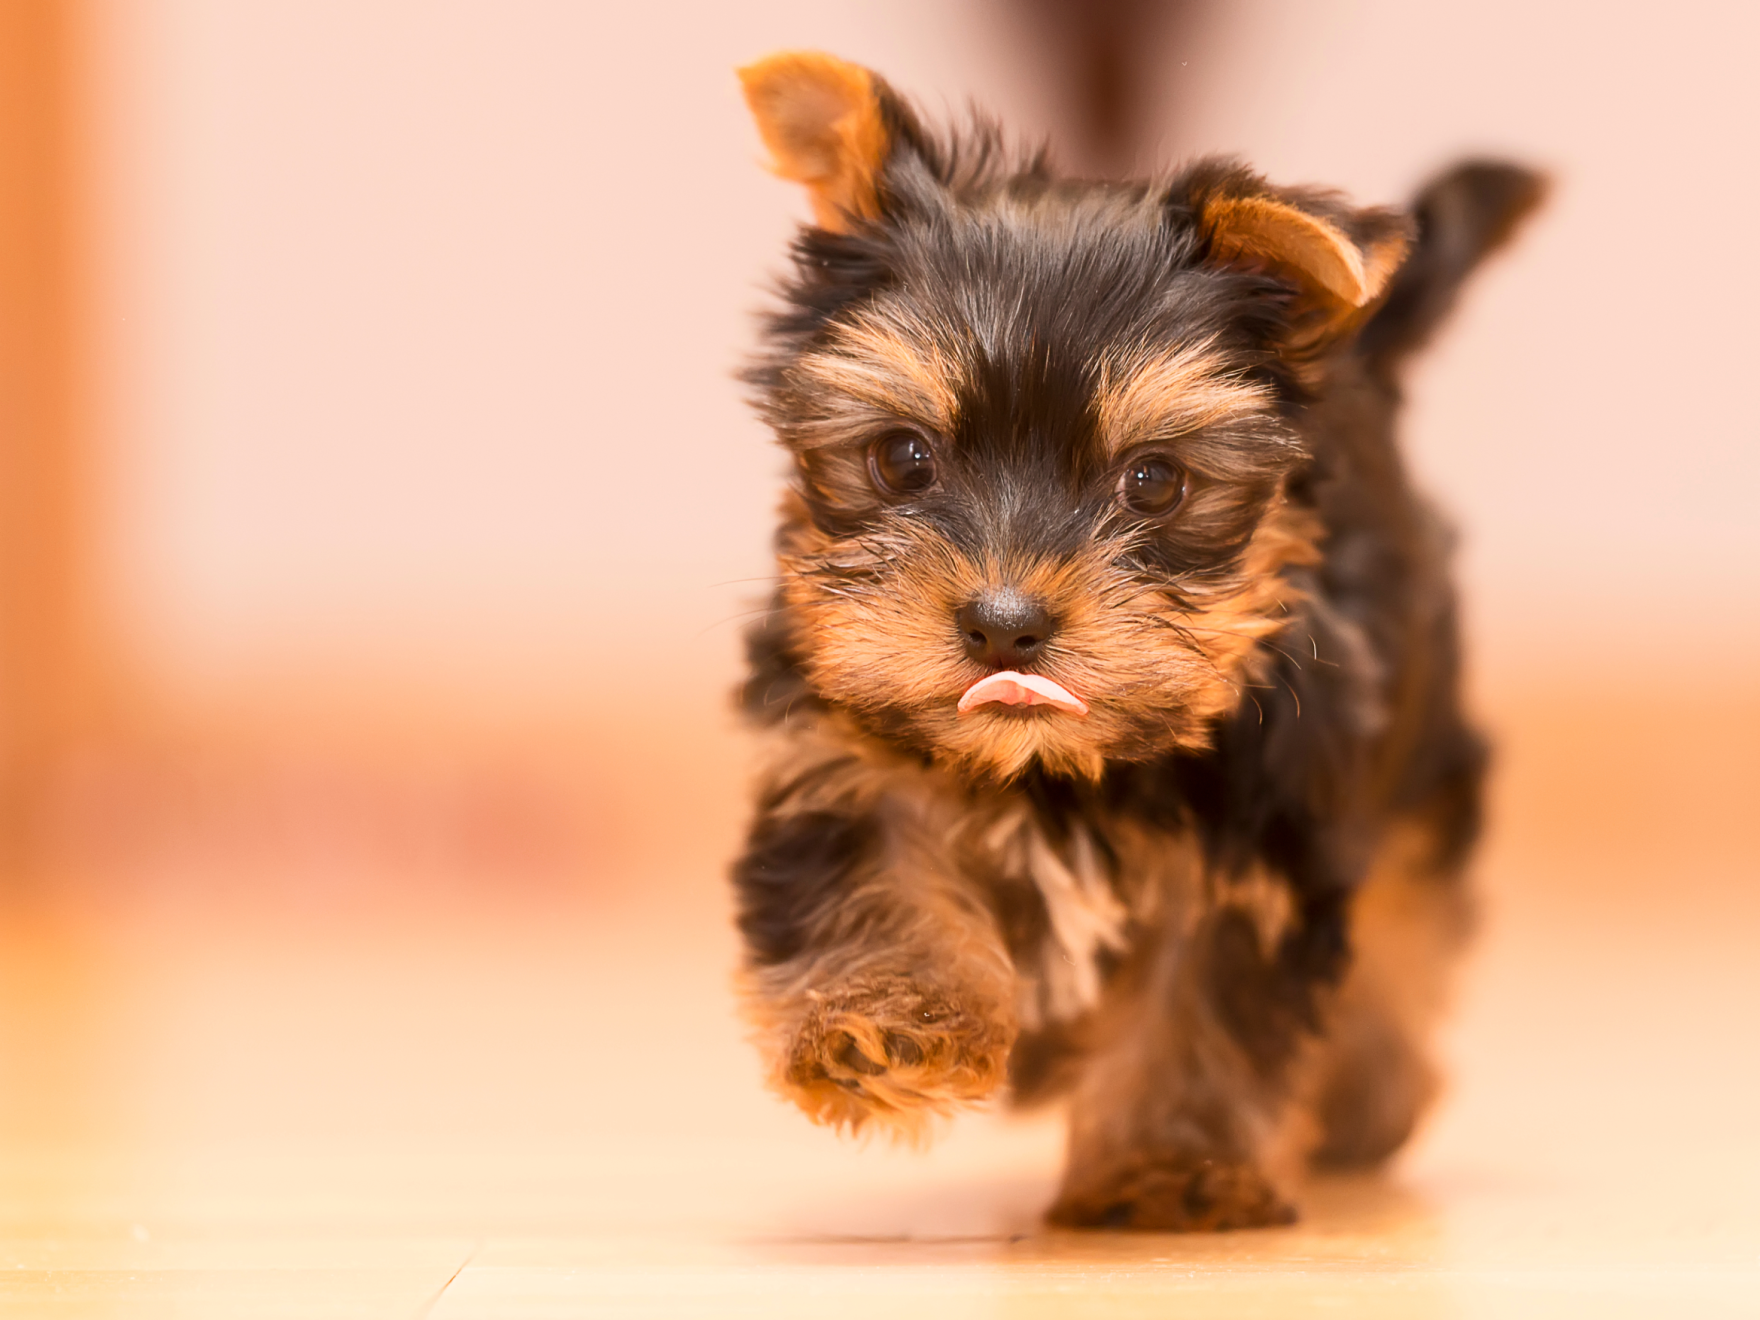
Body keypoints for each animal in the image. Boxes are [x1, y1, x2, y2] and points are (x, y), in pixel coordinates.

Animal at [728, 49, 1541, 1232]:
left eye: (1154, 482)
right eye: (903, 459)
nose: (1003, 623)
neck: (1057, 764)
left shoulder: (1255, 836)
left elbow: (1200, 995)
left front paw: (1170, 1168)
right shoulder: (842, 752)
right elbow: (873, 866)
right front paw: (883, 1026)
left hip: (1418, 745)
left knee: (1408, 907)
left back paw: (1366, 1096)